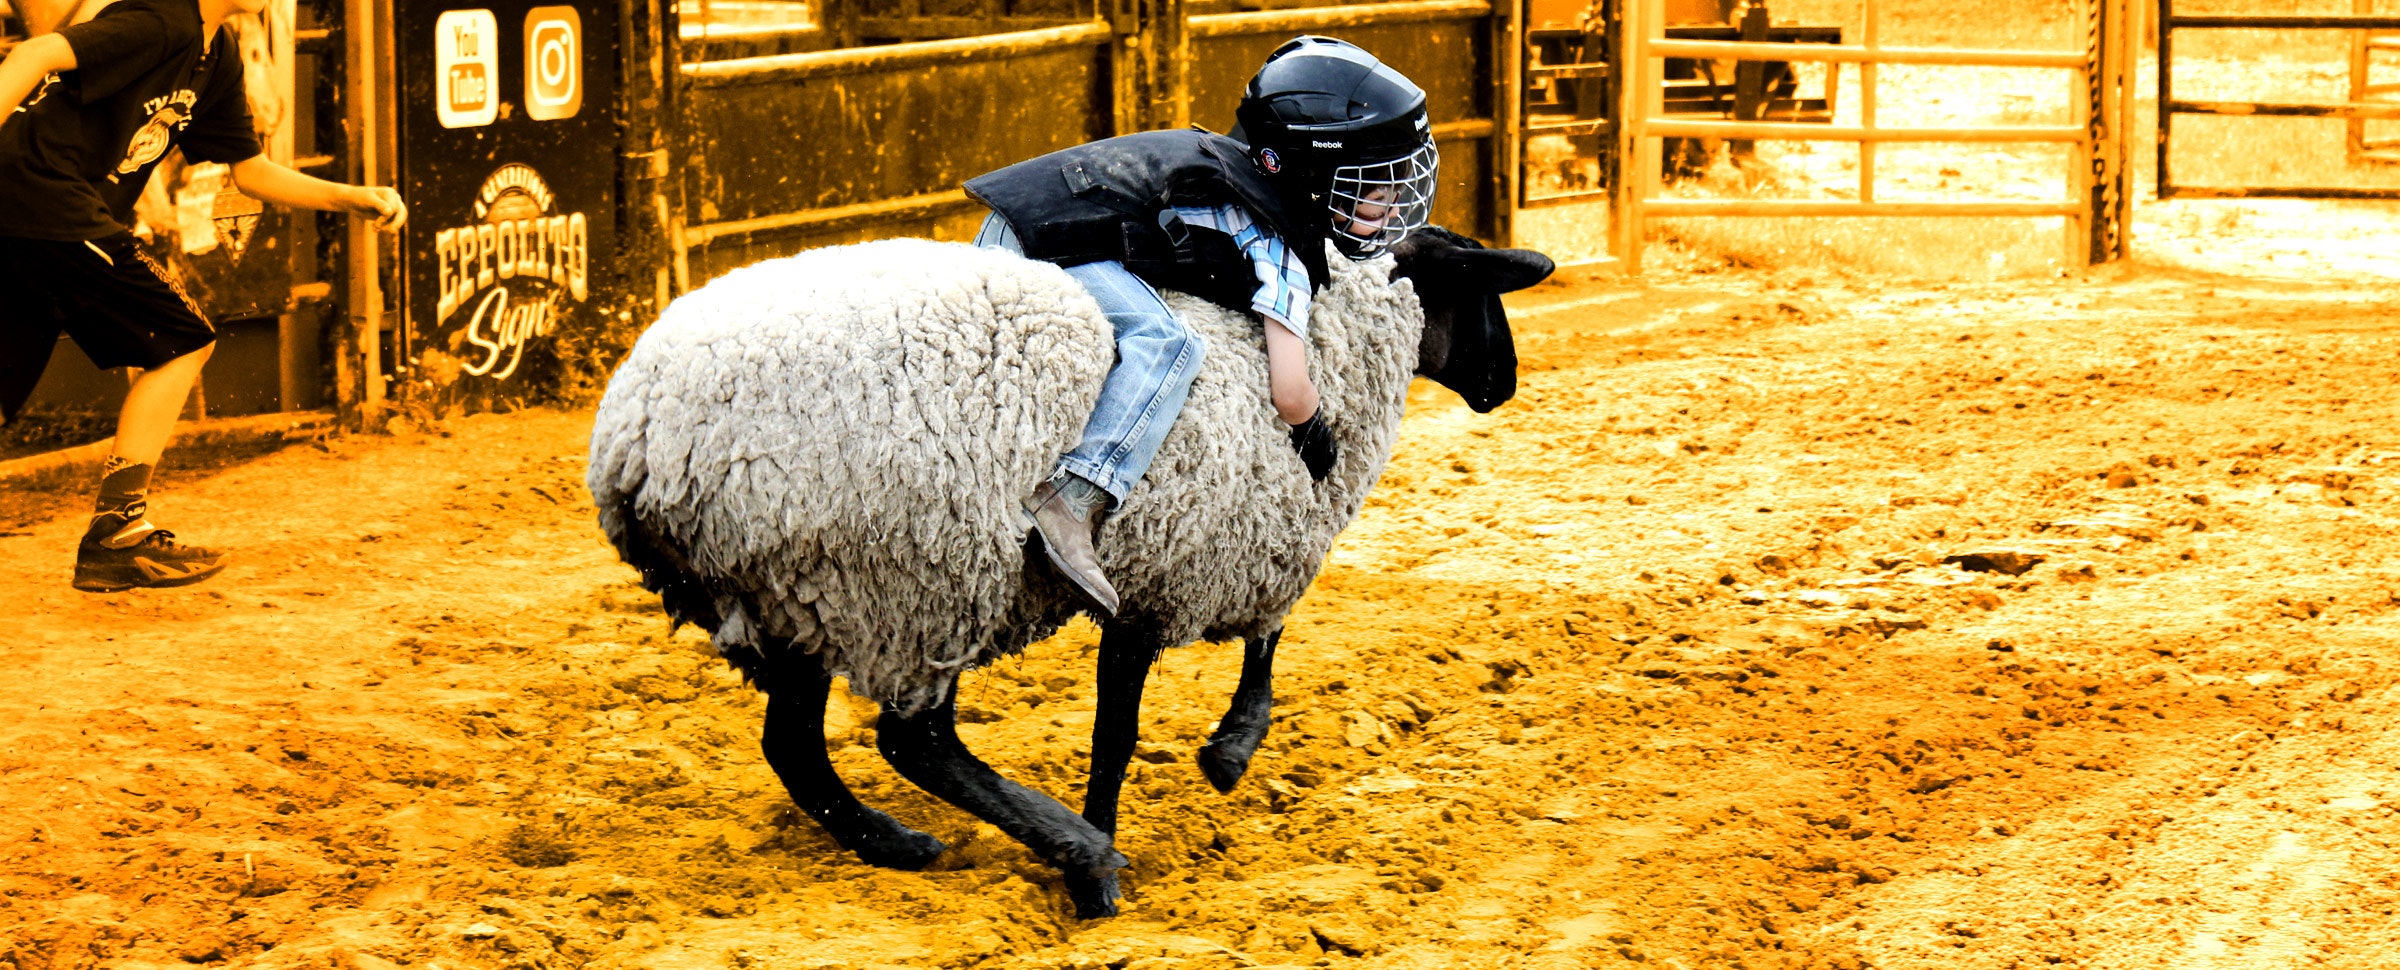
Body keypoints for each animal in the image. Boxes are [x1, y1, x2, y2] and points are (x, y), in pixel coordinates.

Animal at [583, 226, 1555, 917]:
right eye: (1479, 289)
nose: (1506, 383)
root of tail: (637, 439)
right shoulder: (1184, 562)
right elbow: (1139, 720)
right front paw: (1206, 768)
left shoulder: (1213, 549)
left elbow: (1261, 643)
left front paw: (1222, 754)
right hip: (914, 576)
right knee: (915, 742)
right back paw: (1077, 855)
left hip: (801, 597)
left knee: (796, 747)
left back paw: (899, 846)